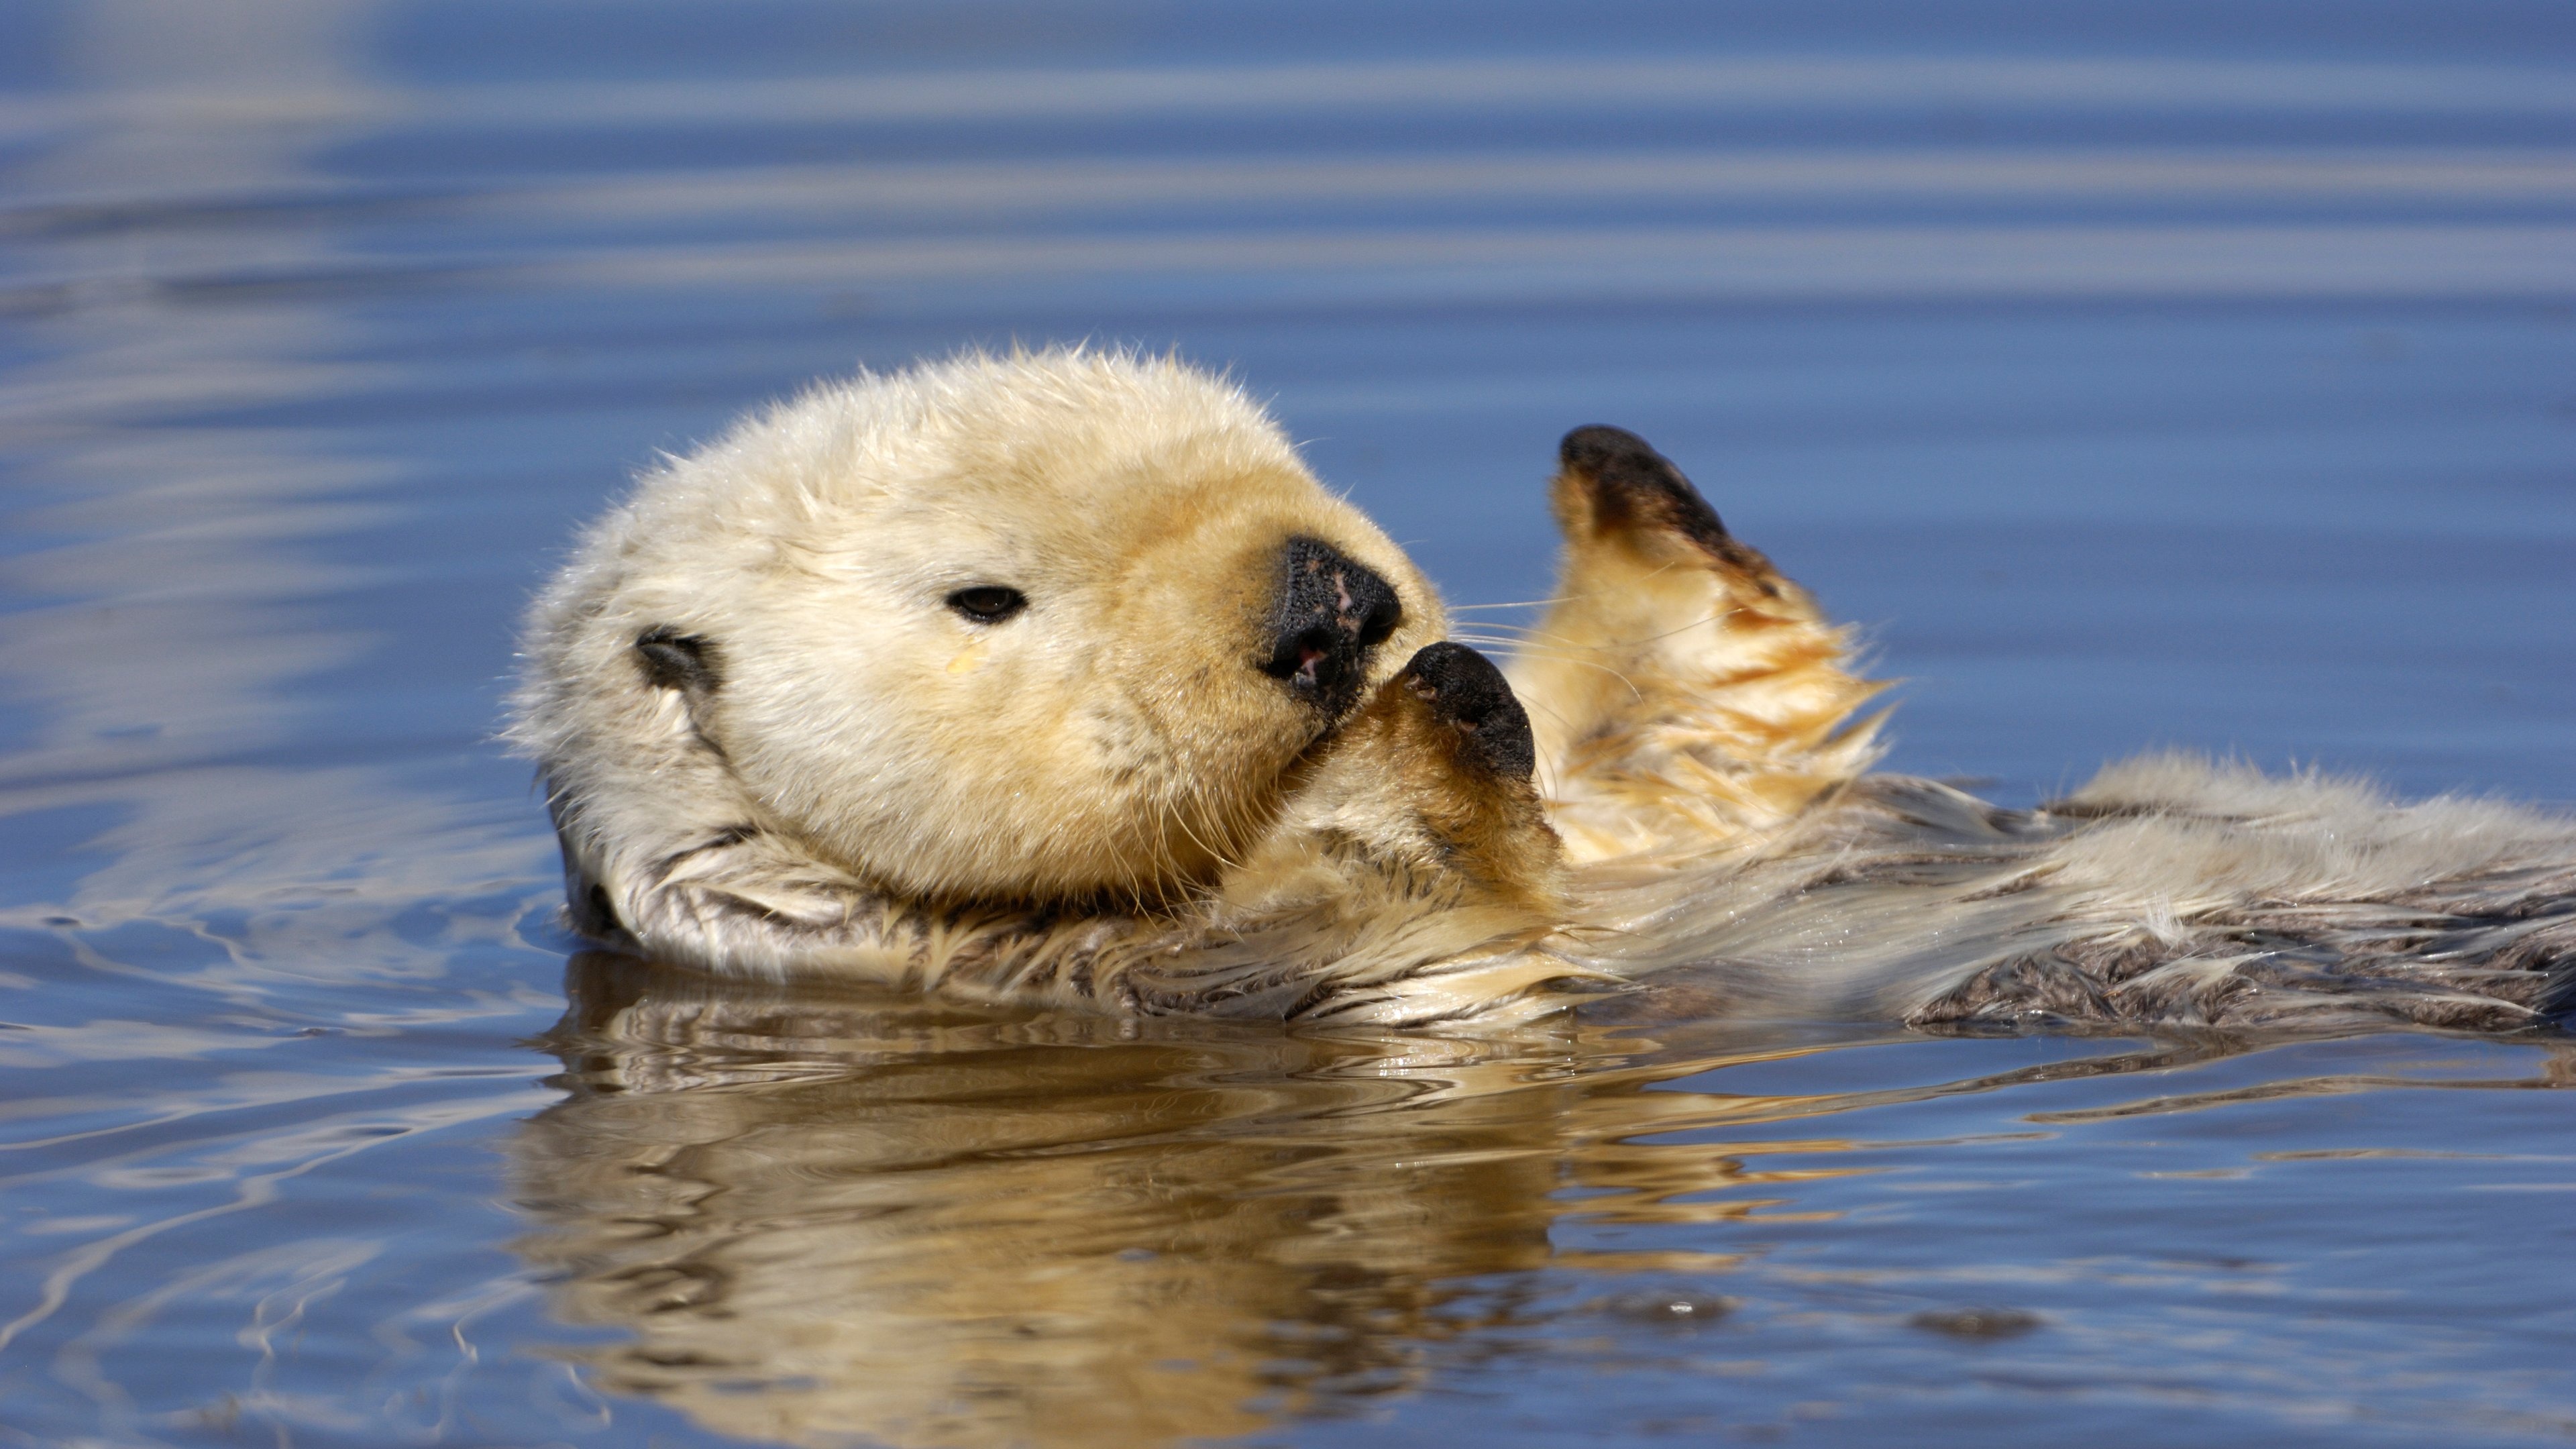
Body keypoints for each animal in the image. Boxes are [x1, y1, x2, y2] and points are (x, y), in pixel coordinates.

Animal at [507, 347, 2576, 1026]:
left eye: (1271, 448)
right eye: (985, 596)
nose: (1334, 607)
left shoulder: (1684, 791)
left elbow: (1729, 695)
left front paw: (1617, 480)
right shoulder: (1160, 969)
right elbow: (1436, 918)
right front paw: (1433, 718)